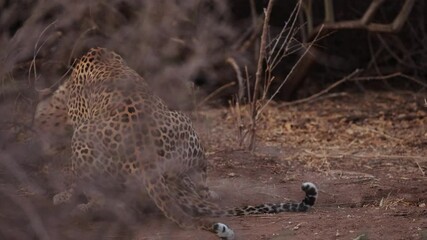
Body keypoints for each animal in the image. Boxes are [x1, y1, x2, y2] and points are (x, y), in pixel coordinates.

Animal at [34, 47, 318, 239]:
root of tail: (143, 152)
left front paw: (65, 195)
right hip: (184, 128)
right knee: (199, 185)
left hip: (83, 138)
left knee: (106, 200)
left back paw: (78, 205)